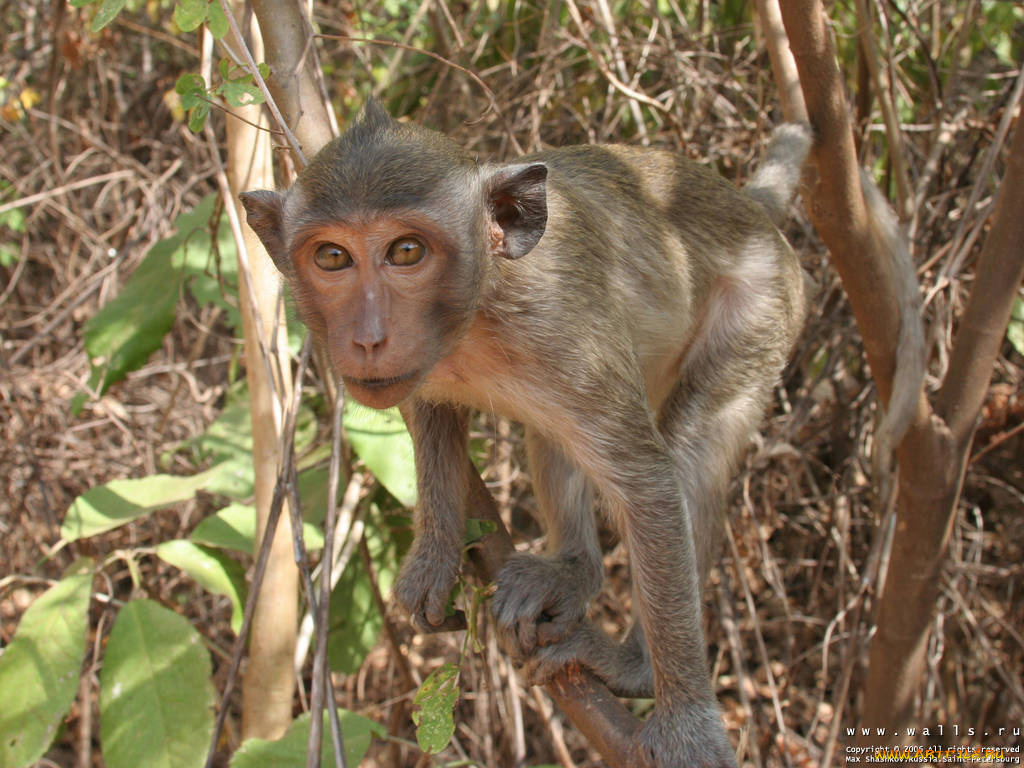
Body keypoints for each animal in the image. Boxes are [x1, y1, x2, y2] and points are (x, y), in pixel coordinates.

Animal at [239, 103, 806, 768]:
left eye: (406, 251)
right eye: (332, 258)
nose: (368, 337)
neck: (479, 307)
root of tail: (750, 213)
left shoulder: (565, 331)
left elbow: (649, 484)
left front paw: (687, 723)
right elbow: (431, 418)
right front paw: (436, 555)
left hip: (759, 313)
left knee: (691, 453)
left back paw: (635, 665)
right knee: (553, 437)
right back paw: (574, 571)